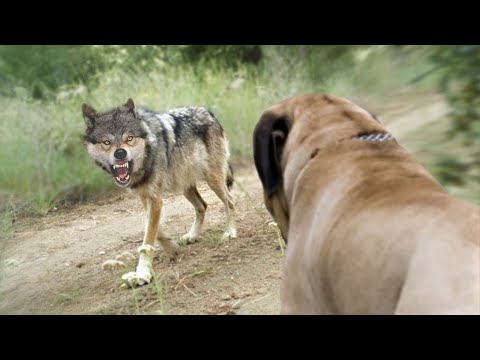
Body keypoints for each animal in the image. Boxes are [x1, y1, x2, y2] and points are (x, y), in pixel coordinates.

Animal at [84, 98, 238, 286]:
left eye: (130, 138)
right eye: (106, 143)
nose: (120, 153)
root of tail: (208, 112)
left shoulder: (155, 199)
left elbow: (148, 237)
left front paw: (142, 274)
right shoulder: (146, 197)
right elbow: (153, 230)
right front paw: (172, 249)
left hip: (213, 180)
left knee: (230, 201)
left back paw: (229, 232)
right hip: (185, 186)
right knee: (202, 205)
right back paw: (192, 235)